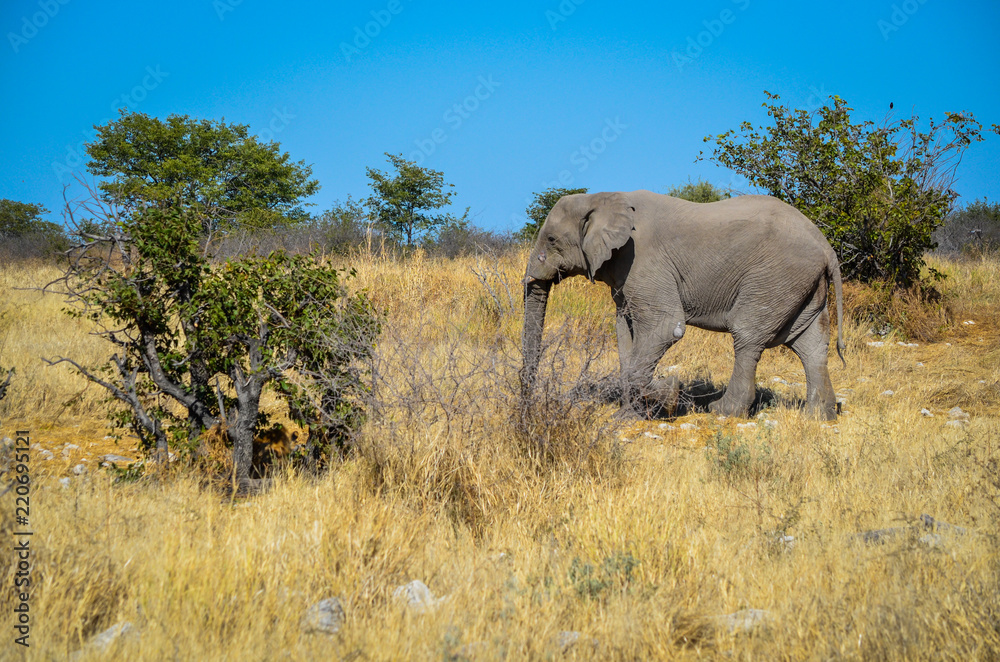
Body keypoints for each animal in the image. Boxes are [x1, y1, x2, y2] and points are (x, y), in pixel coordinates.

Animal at [521, 190, 845, 420]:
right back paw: (820, 417)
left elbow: (666, 327)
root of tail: (826, 246)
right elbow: (624, 333)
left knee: (748, 338)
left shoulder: (643, 260)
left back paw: (723, 411)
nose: (529, 404)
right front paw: (629, 416)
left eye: (552, 240)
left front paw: (671, 392)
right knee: (810, 345)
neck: (602, 197)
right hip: (802, 285)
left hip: (774, 278)